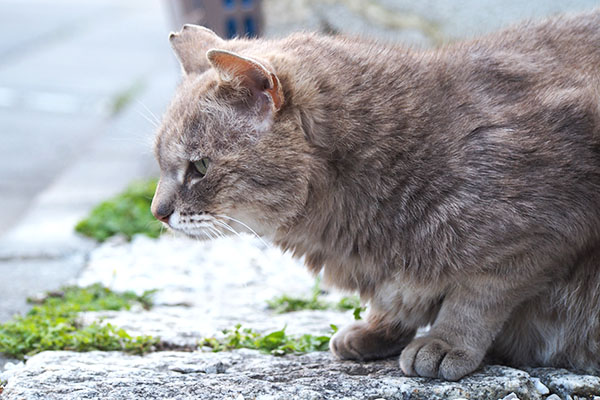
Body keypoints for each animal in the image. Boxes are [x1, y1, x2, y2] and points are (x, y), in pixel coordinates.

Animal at [151, 8, 600, 378]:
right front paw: (376, 330)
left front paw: (445, 341)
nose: (157, 211)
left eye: (199, 167)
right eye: (160, 161)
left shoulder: (545, 230)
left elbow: (477, 295)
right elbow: (402, 296)